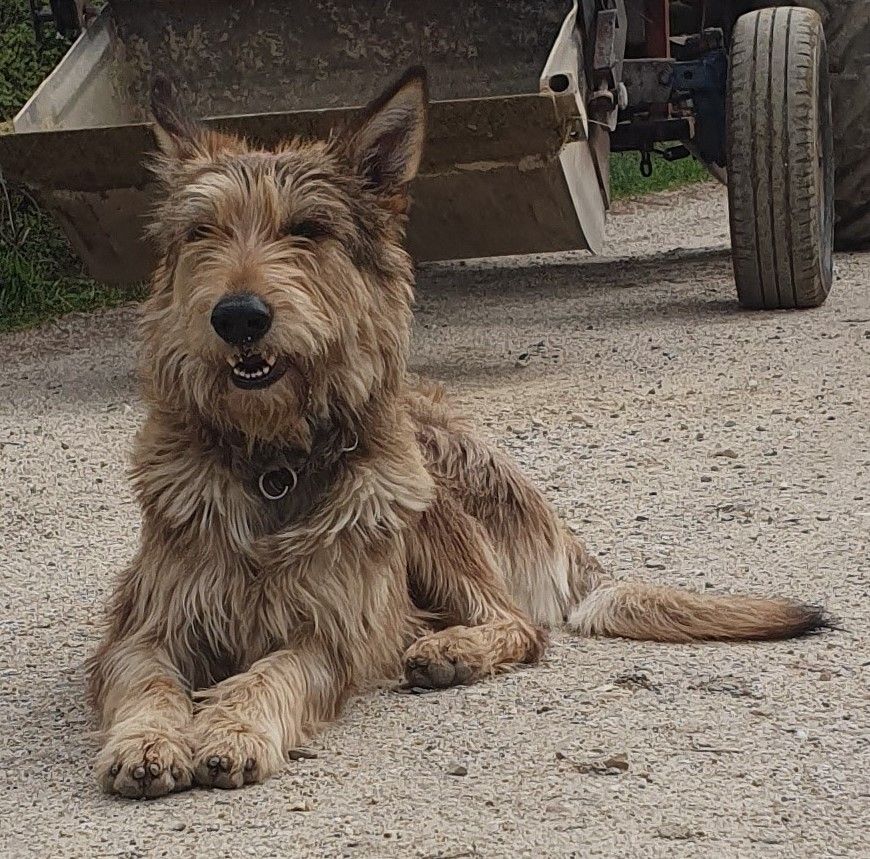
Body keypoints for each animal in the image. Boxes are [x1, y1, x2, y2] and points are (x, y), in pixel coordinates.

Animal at [88, 67, 832, 800]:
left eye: (307, 229)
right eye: (202, 233)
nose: (238, 316)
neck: (272, 460)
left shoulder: (337, 632)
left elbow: (275, 671)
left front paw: (235, 728)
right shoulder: (146, 625)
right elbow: (147, 680)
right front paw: (147, 740)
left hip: (430, 491)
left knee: (519, 624)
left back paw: (453, 648)